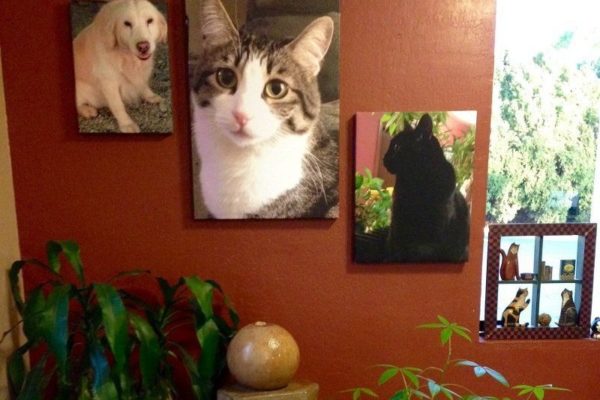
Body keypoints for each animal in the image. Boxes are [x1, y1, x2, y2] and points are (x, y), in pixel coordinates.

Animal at [76, 0, 169, 133]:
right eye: (127, 24)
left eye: (150, 20)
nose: (143, 47)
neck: (126, 55)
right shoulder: (108, 82)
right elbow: (118, 105)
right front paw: (126, 124)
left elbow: (143, 85)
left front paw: (150, 96)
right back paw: (87, 110)